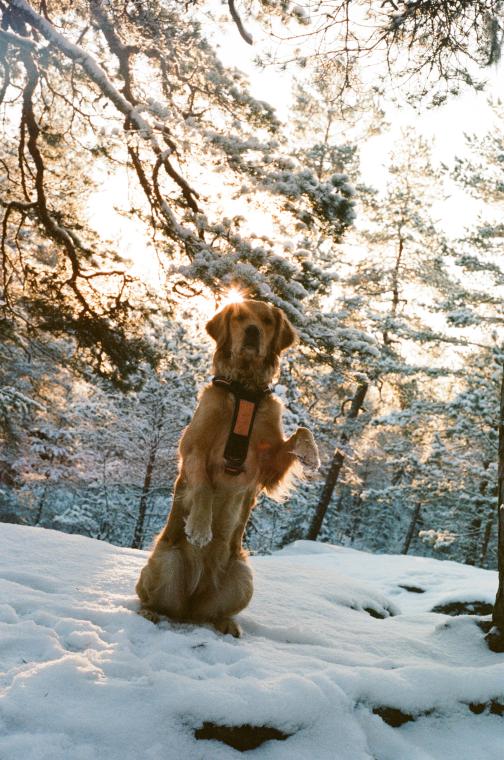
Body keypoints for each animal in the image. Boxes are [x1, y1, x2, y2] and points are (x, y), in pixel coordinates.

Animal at [136, 296, 318, 636]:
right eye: (238, 317)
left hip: (243, 576)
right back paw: (150, 613)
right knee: (157, 602)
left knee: (211, 612)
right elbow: (204, 486)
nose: (252, 331)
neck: (244, 389)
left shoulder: (267, 466)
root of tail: (191, 604)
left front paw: (312, 455)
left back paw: (227, 624)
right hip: (164, 563)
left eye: (267, 321)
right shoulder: (193, 449)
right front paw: (199, 528)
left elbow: (302, 431)